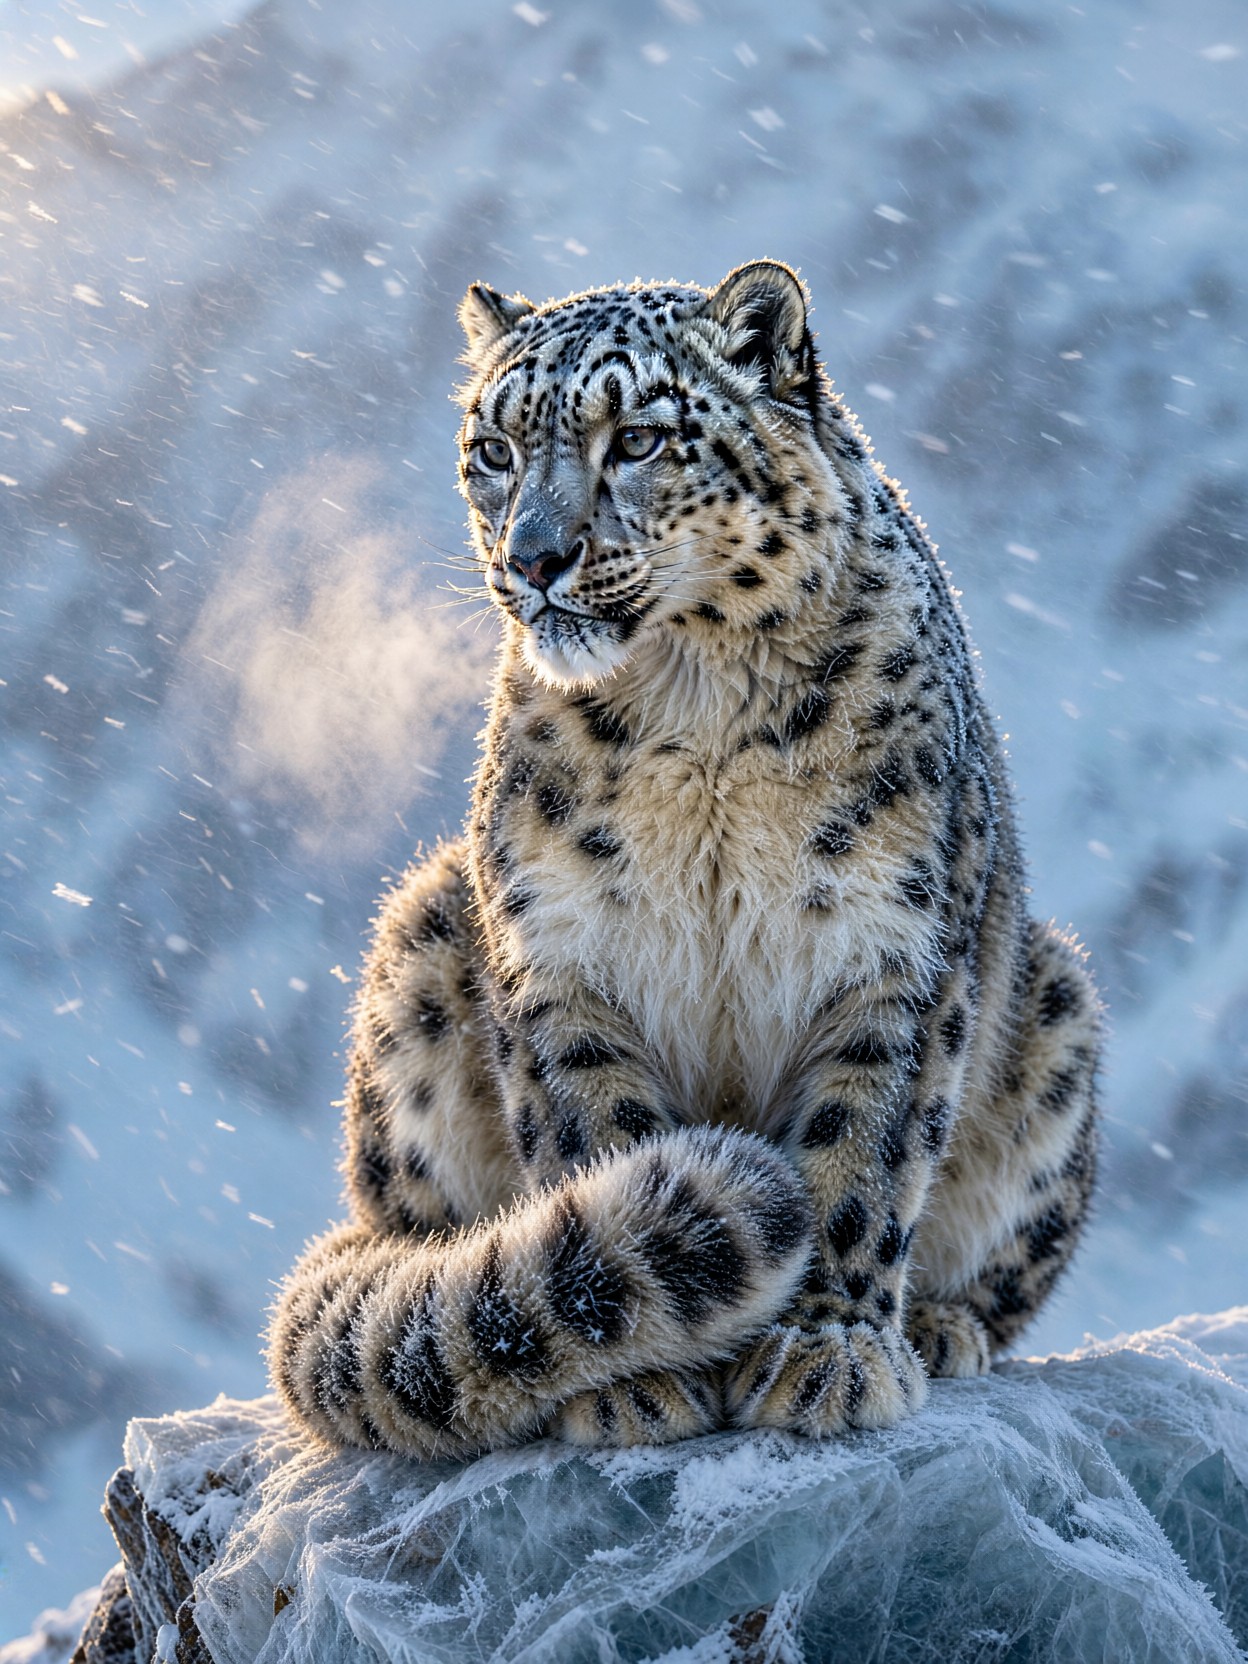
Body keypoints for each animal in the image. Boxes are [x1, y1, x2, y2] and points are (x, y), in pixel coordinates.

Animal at [269, 260, 1101, 1460]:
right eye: (495, 447)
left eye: (639, 437)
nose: (535, 556)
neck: (698, 714)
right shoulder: (560, 952)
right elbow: (594, 1133)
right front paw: (636, 1376)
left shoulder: (892, 951)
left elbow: (862, 1152)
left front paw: (825, 1350)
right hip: (420, 943)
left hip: (1057, 1000)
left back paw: (940, 1326)